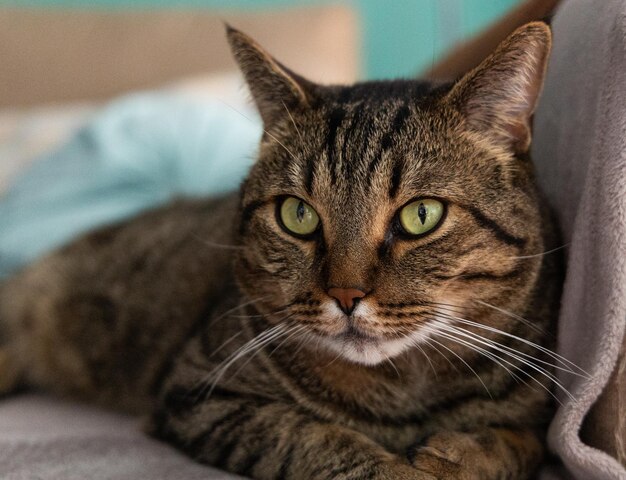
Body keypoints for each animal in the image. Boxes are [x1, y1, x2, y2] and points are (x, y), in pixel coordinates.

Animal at [0, 21, 568, 480]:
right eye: (298, 215)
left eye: (420, 215)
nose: (346, 295)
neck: (402, 395)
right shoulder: (200, 392)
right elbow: (315, 440)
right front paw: (403, 469)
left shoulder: (534, 420)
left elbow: (517, 443)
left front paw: (454, 456)